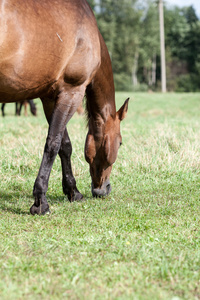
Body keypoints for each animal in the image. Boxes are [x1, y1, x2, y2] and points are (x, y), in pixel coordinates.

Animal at [0, 0, 129, 216]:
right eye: (120, 143)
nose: (103, 190)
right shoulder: (72, 91)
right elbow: (53, 144)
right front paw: (40, 201)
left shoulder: (50, 98)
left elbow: (65, 145)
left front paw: (72, 191)